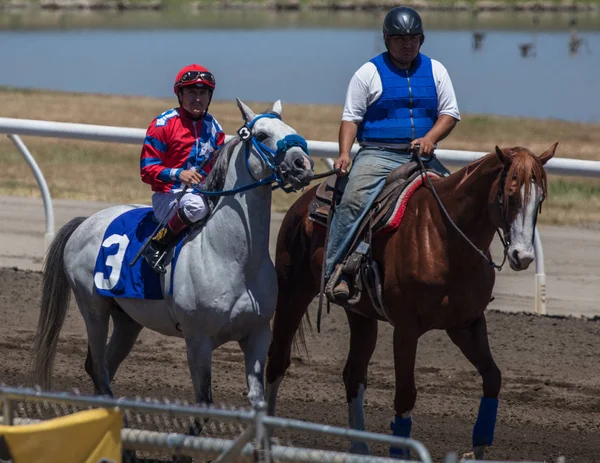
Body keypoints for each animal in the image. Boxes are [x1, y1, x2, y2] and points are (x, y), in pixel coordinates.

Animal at [32, 99, 314, 410]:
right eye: (262, 135)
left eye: (291, 129)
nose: (303, 165)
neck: (235, 258)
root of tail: (84, 222)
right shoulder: (198, 339)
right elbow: (204, 400)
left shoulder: (258, 335)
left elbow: (258, 402)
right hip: (93, 309)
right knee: (99, 367)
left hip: (128, 320)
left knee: (102, 366)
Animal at [268, 145, 556, 460]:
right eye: (511, 193)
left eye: (540, 198)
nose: (523, 256)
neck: (444, 237)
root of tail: (303, 202)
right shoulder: (406, 329)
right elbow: (405, 395)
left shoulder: (466, 323)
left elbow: (493, 378)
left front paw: (478, 449)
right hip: (292, 291)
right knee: (277, 361)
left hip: (360, 313)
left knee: (354, 374)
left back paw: (360, 448)